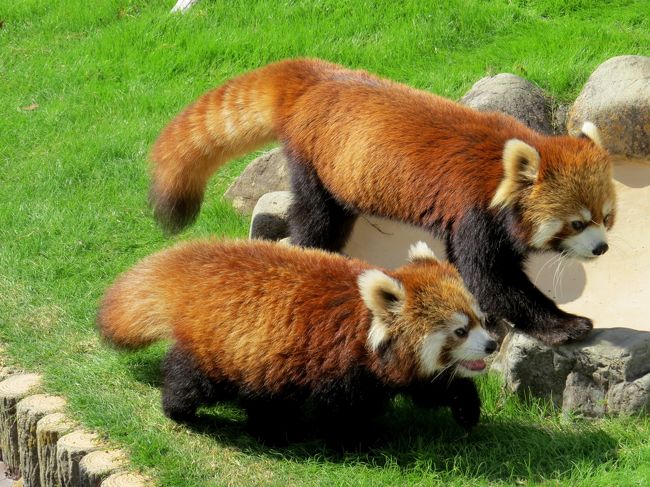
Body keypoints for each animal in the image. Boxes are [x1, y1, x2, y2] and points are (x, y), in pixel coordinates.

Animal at [96, 241, 494, 442]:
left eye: (481, 319)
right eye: (460, 331)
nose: (491, 345)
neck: (366, 325)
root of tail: (193, 278)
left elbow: (429, 387)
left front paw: (466, 406)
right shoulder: (341, 365)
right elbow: (345, 408)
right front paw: (362, 436)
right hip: (216, 347)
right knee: (191, 381)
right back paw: (187, 412)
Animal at [149, 58, 616, 346]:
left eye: (606, 217)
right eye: (576, 223)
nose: (602, 249)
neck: (500, 174)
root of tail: (315, 77)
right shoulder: (473, 210)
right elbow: (492, 278)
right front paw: (565, 325)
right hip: (317, 166)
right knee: (317, 221)